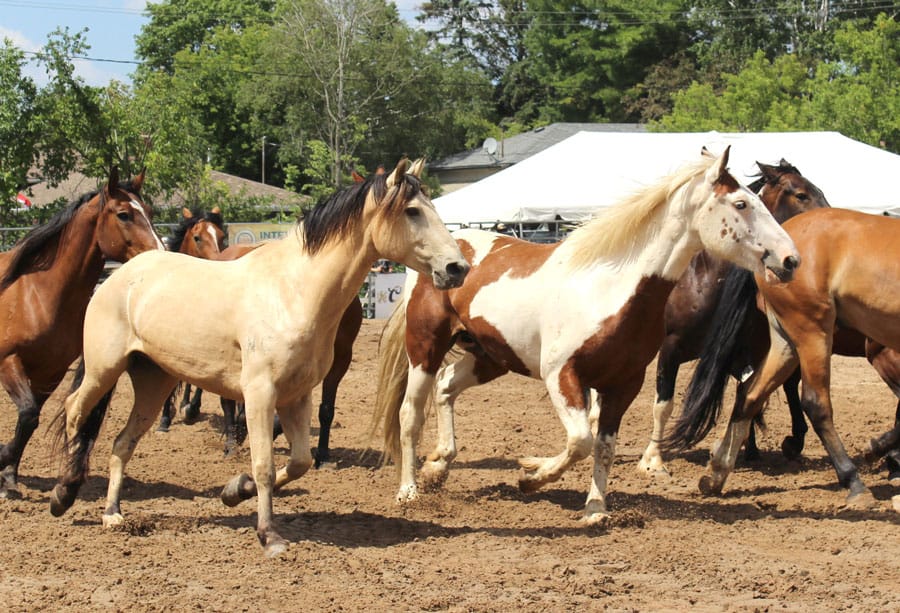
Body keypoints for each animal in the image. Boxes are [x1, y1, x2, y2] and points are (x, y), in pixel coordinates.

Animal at [0, 167, 164, 499]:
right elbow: (27, 415)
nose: (161, 253)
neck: (39, 294)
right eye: (124, 214)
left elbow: (29, 421)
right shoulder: (9, 361)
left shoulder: (49, 374)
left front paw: (8, 477)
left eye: (150, 212)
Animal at [49, 158, 469, 557]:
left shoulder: (297, 395)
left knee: (122, 443)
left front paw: (235, 490)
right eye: (412, 210)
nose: (458, 267)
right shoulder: (259, 393)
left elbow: (299, 462)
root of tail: (120, 276)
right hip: (104, 369)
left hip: (155, 381)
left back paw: (112, 514)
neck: (292, 291)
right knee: (74, 410)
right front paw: (269, 536)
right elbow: (264, 465)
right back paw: (64, 493)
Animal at [371, 146, 799, 524]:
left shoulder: (623, 385)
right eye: (742, 204)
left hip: (490, 357)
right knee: (410, 413)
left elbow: (603, 447)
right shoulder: (562, 376)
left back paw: (438, 466)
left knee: (446, 387)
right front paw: (532, 476)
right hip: (425, 347)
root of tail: (447, 254)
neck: (611, 287)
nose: (791, 259)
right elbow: (580, 441)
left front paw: (595, 509)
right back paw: (409, 490)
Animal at [636, 160, 831, 476]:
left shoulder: (745, 353)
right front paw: (653, 459)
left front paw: (750, 448)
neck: (704, 279)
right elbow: (663, 404)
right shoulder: (670, 350)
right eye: (801, 194)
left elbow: (753, 394)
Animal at [668, 207, 900, 507]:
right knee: (815, 403)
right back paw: (854, 482)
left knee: (749, 394)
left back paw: (717, 473)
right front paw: (880, 451)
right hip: (811, 330)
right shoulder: (885, 355)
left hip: (785, 341)